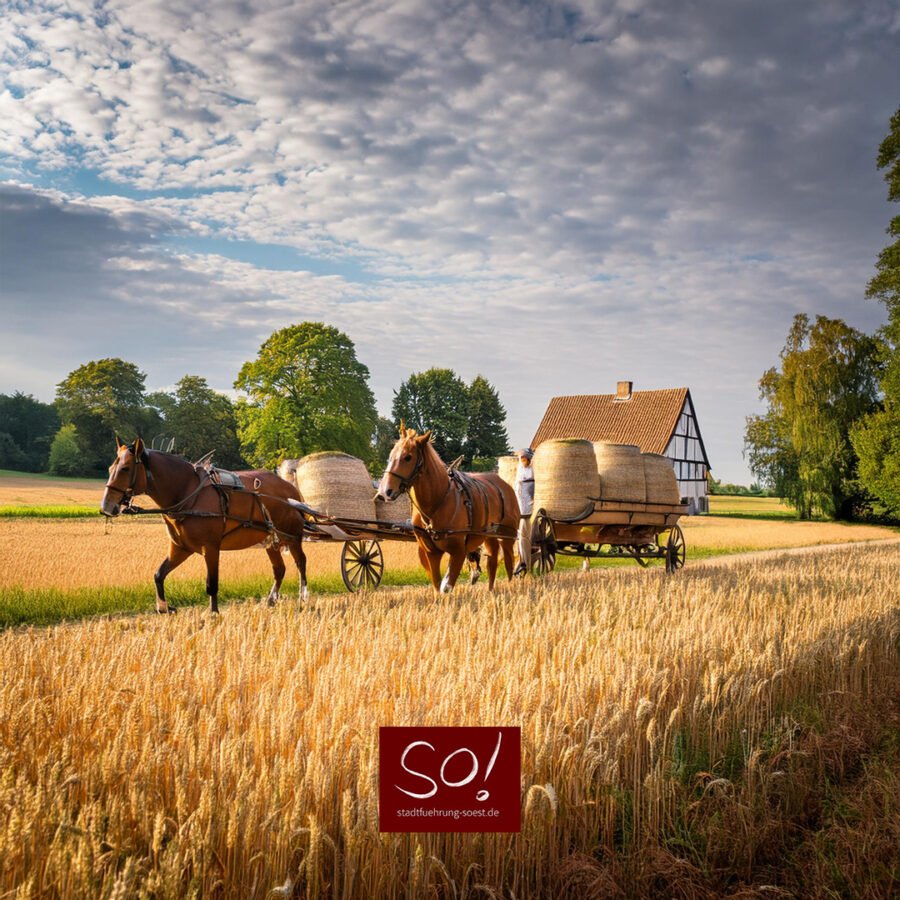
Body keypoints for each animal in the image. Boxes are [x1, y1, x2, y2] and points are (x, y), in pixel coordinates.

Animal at [100, 438, 308, 620]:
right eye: (111, 468)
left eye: (125, 469)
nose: (106, 506)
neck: (188, 492)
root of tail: (290, 490)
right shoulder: (180, 548)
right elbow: (158, 575)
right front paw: (164, 607)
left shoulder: (211, 548)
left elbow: (211, 584)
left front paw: (213, 614)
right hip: (270, 540)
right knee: (279, 569)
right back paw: (271, 601)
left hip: (292, 536)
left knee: (301, 563)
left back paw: (303, 600)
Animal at [374, 428, 516, 596]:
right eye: (390, 456)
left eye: (408, 457)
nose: (384, 491)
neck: (437, 504)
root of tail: (503, 483)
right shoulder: (431, 553)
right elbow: (437, 584)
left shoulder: (458, 551)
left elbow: (446, 587)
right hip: (488, 536)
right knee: (492, 561)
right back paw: (490, 591)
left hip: (508, 536)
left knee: (509, 563)